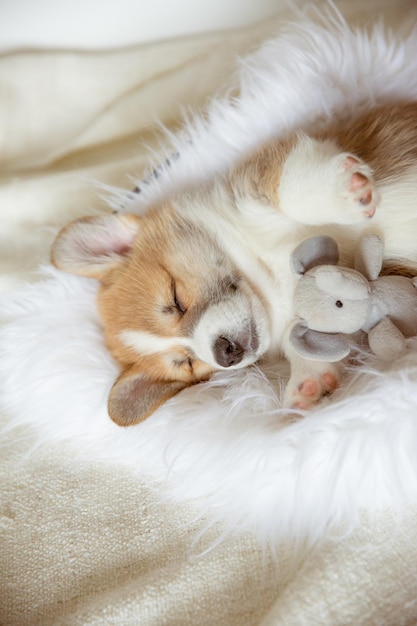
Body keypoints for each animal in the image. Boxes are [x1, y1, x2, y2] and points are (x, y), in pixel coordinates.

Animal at [51, 103, 416, 424]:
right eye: (188, 363)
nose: (224, 353)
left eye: (175, 299)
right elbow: (305, 345)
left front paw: (345, 192)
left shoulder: (261, 175)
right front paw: (307, 386)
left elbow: (290, 188)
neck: (269, 278)